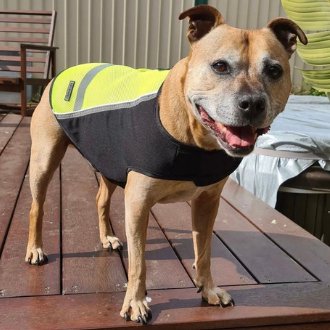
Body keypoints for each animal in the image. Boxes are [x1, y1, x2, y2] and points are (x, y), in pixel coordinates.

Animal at [25, 5, 306, 324]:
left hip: (109, 160)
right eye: (220, 66)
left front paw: (209, 289)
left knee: (101, 199)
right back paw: (35, 249)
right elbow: (139, 262)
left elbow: (204, 251)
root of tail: (64, 73)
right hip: (44, 159)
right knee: (37, 207)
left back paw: (107, 236)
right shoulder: (138, 204)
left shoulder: (208, 203)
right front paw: (135, 302)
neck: (194, 137)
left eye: (274, 70)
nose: (253, 103)